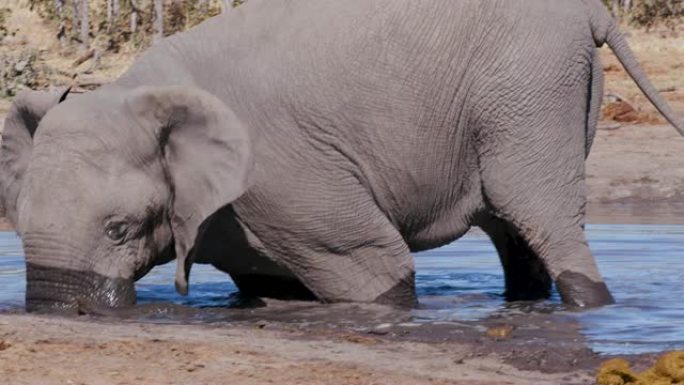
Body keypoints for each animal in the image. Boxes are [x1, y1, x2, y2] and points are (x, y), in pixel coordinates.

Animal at [1, 0, 684, 312]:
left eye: (120, 229)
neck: (139, 93)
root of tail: (589, 11)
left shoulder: (282, 175)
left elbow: (375, 269)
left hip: (529, 92)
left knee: (540, 215)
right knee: (515, 231)